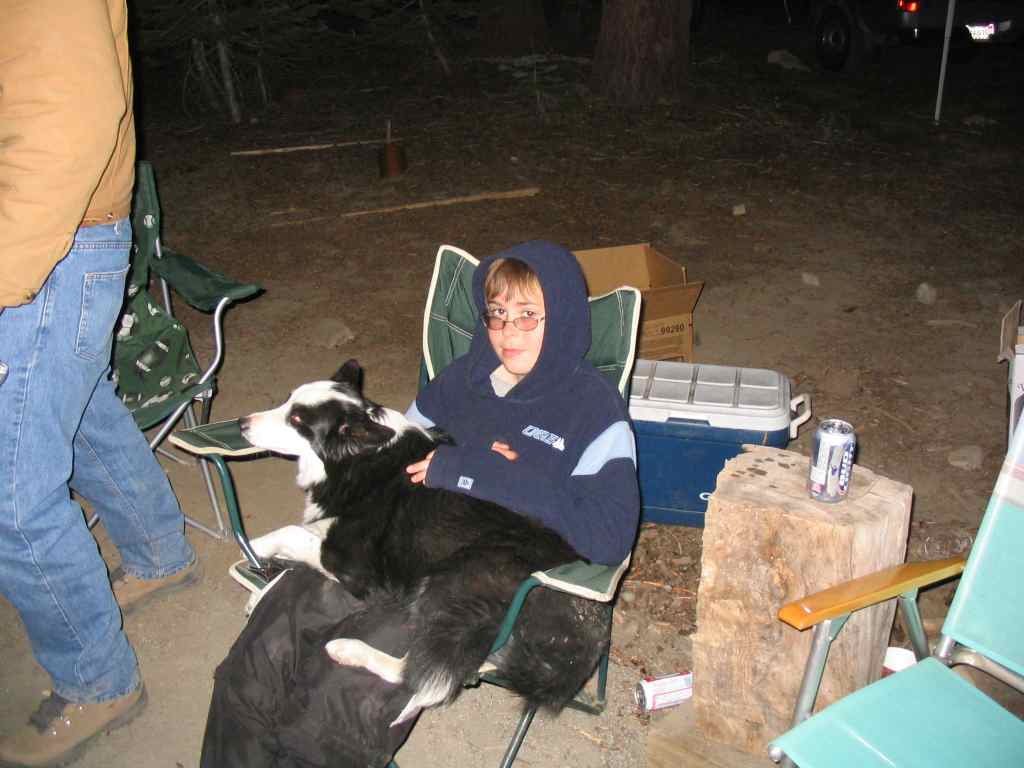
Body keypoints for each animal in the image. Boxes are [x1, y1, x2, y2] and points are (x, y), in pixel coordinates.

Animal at [241, 359, 611, 726]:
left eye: (297, 420)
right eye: (287, 401)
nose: (242, 423)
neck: (358, 458)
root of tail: (589, 633)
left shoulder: (354, 565)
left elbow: (290, 532)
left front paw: (254, 549)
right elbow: (295, 539)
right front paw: (260, 588)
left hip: (455, 581)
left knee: (422, 678)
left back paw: (349, 650)